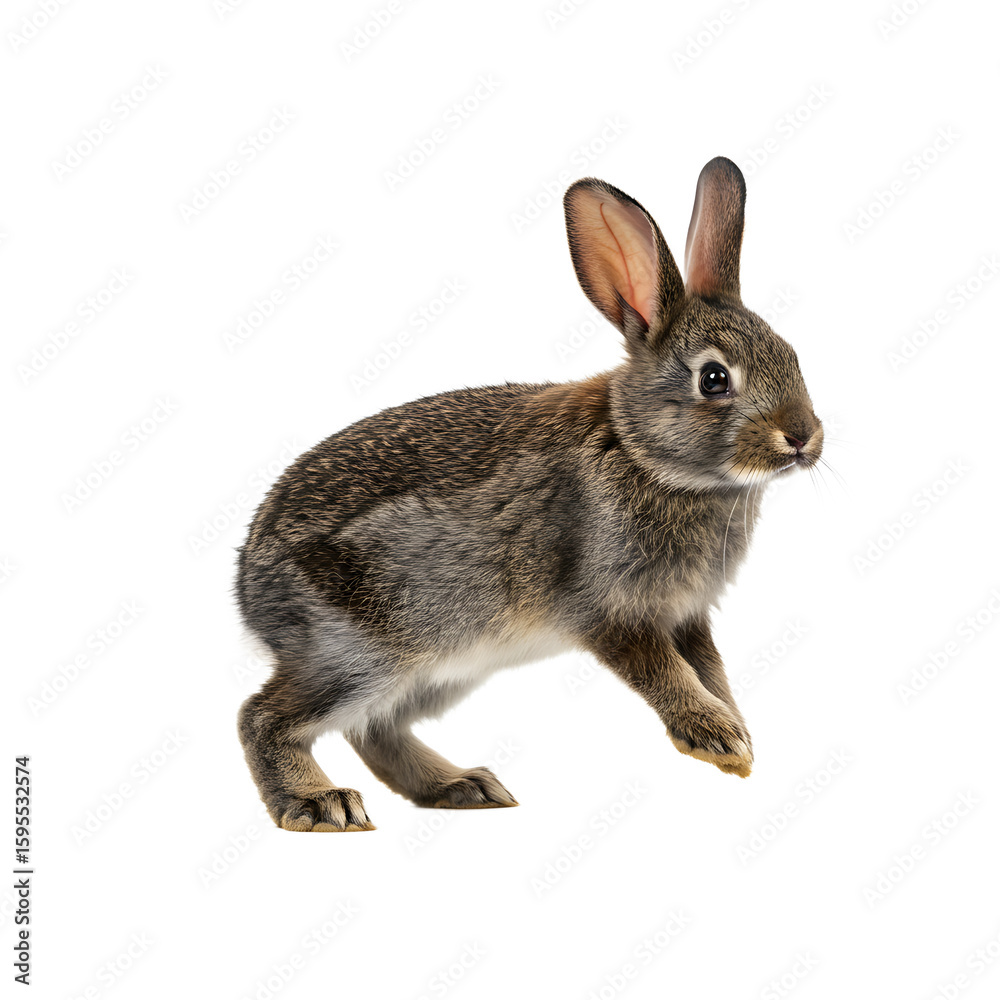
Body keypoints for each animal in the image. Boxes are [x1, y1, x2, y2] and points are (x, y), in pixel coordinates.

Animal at [235, 156, 823, 832]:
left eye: (791, 353)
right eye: (715, 379)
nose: (804, 437)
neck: (643, 453)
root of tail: (247, 585)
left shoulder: (687, 615)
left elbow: (710, 670)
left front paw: (741, 741)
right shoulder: (614, 611)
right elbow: (665, 673)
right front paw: (718, 738)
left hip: (437, 667)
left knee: (374, 729)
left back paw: (461, 786)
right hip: (363, 651)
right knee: (266, 717)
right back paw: (320, 803)